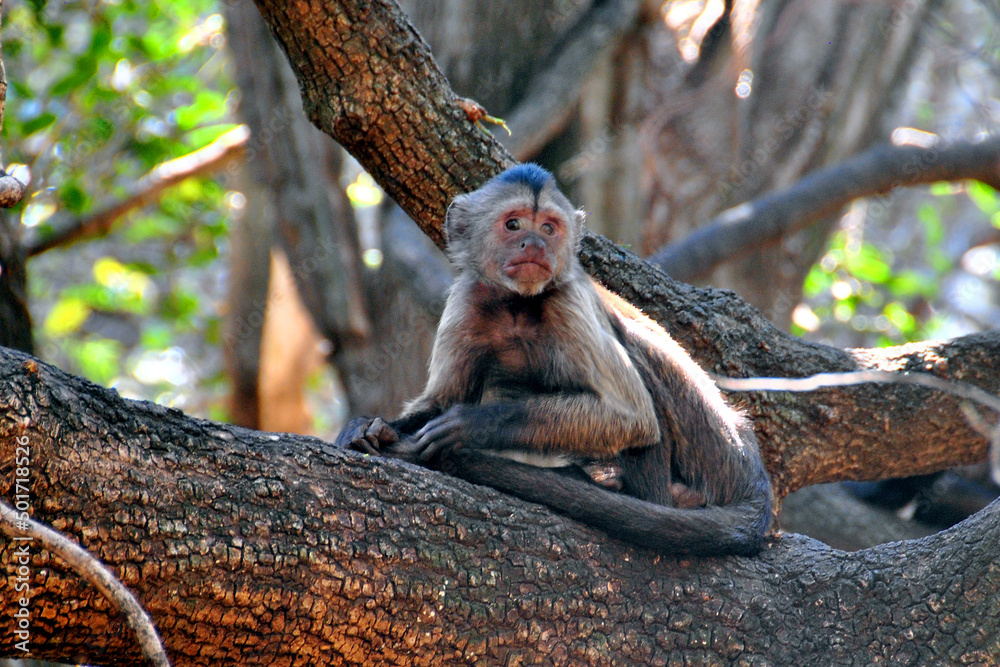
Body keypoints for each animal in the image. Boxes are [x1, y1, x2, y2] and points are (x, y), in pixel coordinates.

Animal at [336, 164, 771, 556]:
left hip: (713, 450)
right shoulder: (467, 300)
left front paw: (469, 426)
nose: (534, 245)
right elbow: (440, 399)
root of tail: (750, 463)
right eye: (513, 225)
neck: (517, 306)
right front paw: (371, 427)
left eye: (548, 228)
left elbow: (632, 417)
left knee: (635, 350)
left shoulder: (569, 301)